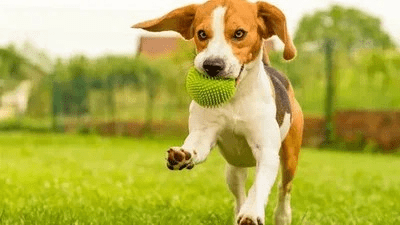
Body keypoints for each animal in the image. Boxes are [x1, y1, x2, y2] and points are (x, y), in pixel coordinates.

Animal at [132, 0, 304, 224]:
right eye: (202, 33)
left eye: (239, 33)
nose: (212, 65)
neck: (234, 100)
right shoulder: (204, 134)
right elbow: (196, 148)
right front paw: (183, 155)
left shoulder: (266, 151)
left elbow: (259, 187)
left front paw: (251, 213)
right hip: (233, 168)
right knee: (239, 194)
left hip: (289, 158)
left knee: (284, 188)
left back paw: (281, 216)